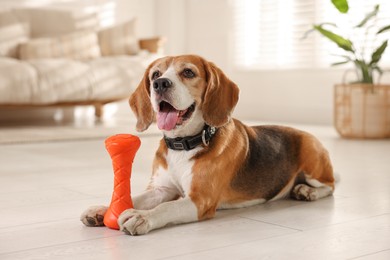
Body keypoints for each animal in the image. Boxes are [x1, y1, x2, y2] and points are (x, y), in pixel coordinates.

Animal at [80, 54, 336, 236]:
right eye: (155, 74)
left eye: (188, 72)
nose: (160, 84)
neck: (183, 144)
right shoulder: (161, 189)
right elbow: (136, 197)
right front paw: (102, 210)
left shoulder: (200, 200)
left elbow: (167, 208)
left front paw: (142, 217)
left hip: (313, 161)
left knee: (330, 186)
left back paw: (307, 191)